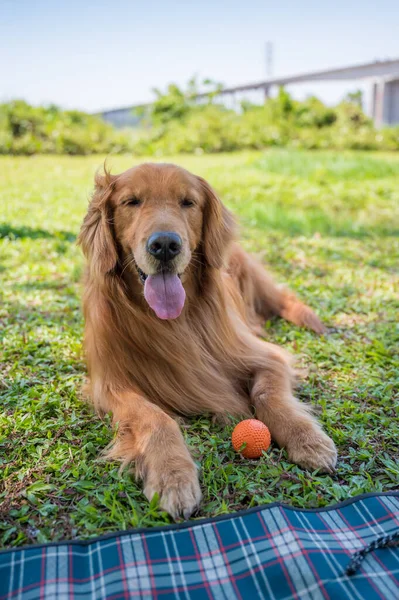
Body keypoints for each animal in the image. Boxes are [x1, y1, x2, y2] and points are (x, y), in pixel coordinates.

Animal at [78, 162, 338, 516]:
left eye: (188, 202)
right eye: (131, 202)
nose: (165, 245)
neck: (175, 322)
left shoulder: (265, 356)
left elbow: (269, 394)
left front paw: (307, 439)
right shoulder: (113, 385)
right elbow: (155, 418)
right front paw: (173, 475)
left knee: (284, 299)